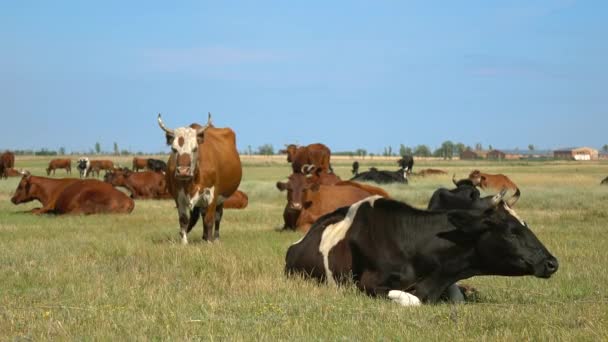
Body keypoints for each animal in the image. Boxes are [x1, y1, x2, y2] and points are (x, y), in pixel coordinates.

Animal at [157, 112, 242, 243]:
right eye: (174, 149)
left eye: (195, 148)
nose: (183, 171)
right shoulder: (179, 196)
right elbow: (184, 220)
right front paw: (184, 242)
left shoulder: (212, 194)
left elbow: (209, 219)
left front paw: (209, 242)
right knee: (202, 214)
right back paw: (204, 236)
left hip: (221, 197)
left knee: (218, 216)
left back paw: (215, 238)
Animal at [288, 196, 560, 306]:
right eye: (512, 231)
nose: (552, 262)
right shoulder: (367, 285)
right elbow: (414, 300)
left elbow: (458, 297)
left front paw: (467, 290)